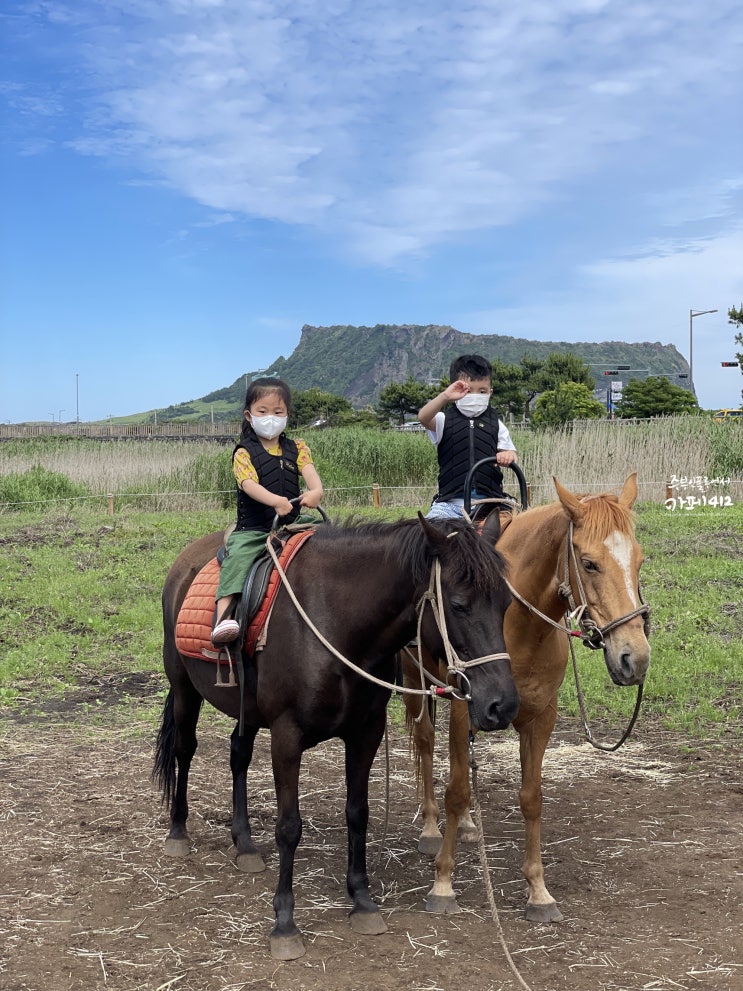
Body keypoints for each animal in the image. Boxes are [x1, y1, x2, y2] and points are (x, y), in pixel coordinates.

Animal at [154, 516, 520, 956]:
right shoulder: (286, 736)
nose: (503, 705)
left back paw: (244, 843)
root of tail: (184, 562)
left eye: (505, 604)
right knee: (184, 749)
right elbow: (289, 827)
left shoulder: (366, 732)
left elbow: (358, 813)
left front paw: (361, 900)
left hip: (246, 709)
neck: (337, 622)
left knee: (238, 754)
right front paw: (285, 922)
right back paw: (177, 832)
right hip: (184, 688)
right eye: (459, 604)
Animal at [404, 472, 652, 924]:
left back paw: (469, 826)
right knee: (426, 744)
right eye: (589, 563)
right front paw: (443, 882)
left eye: (639, 562)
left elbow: (531, 797)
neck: (517, 623)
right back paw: (432, 829)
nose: (635, 658)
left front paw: (538, 890)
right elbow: (456, 790)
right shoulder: (464, 710)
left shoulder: (540, 718)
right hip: (415, 682)